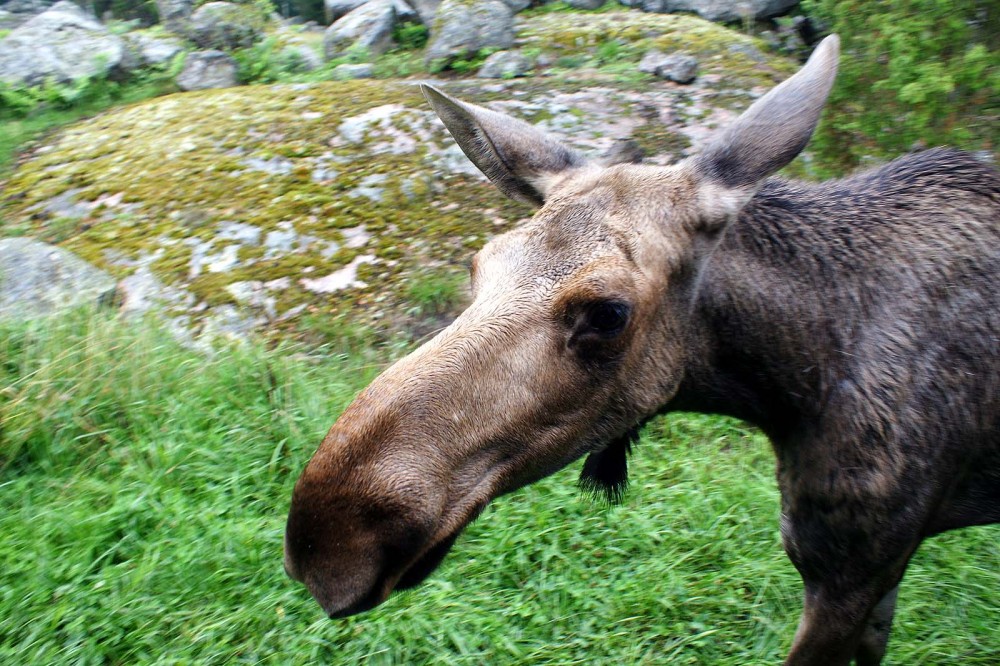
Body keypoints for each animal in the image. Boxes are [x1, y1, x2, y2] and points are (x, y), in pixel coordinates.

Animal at [284, 37, 1000, 664]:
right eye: (478, 264)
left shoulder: (851, 568)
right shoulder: (876, 563)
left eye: (608, 313)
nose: (327, 539)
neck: (795, 385)